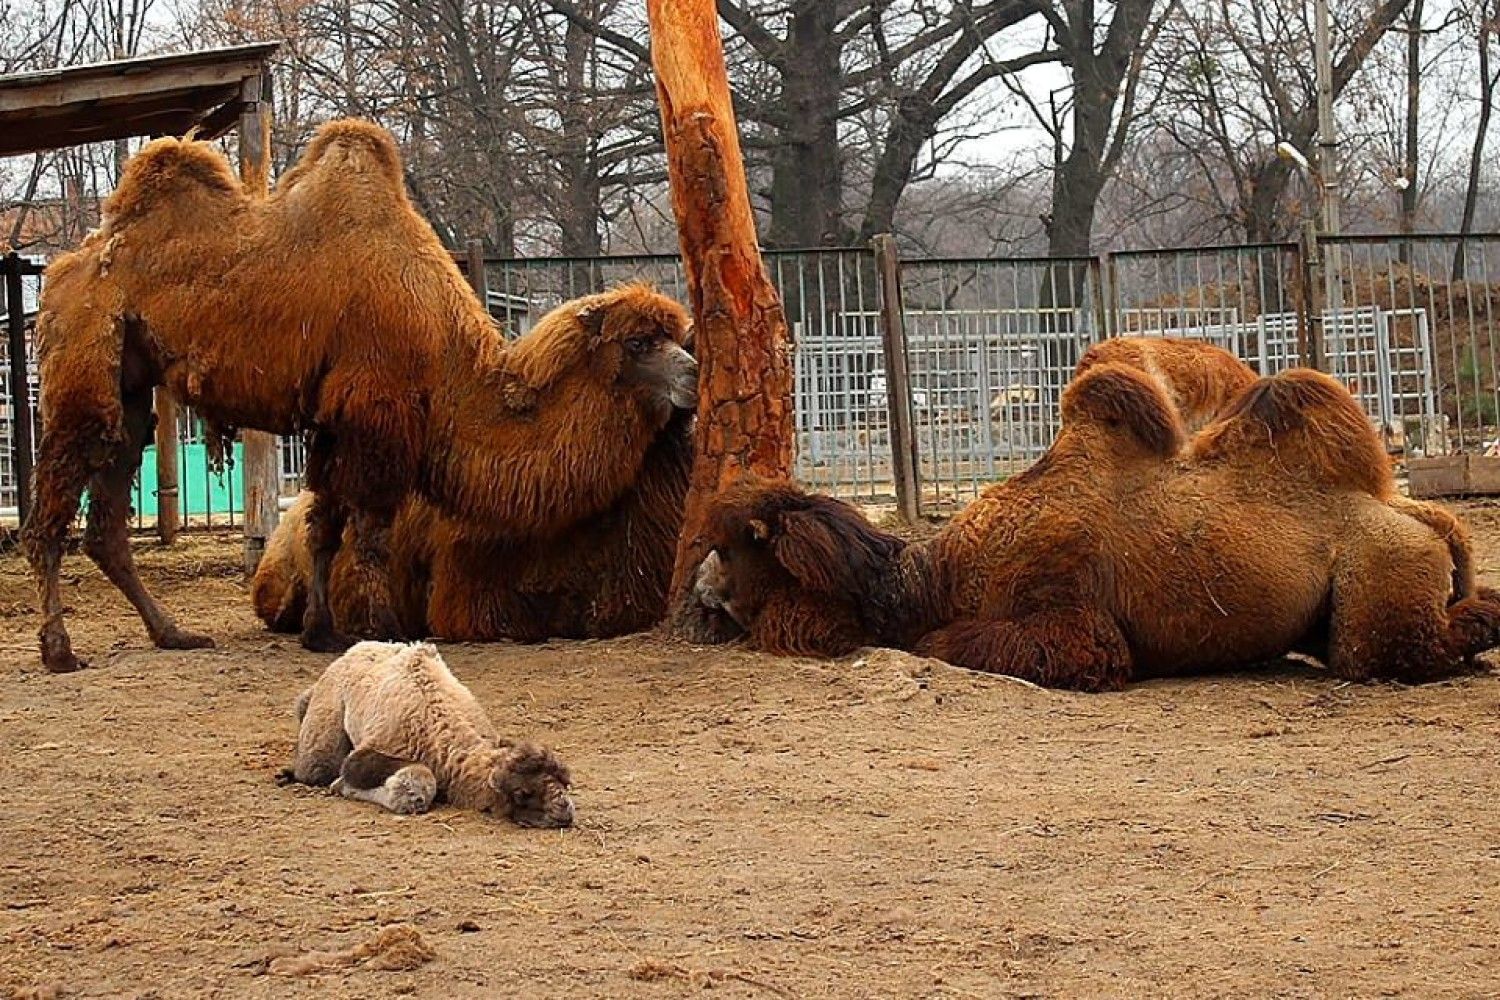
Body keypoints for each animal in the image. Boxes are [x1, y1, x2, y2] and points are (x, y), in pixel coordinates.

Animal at [277, 641, 573, 827]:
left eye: (564, 781)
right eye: (521, 793)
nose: (564, 809)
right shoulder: (366, 754)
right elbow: (416, 786)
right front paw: (341, 786)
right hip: (323, 730)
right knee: (314, 767)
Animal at [687, 364, 1500, 692]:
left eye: (735, 547)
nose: (700, 584)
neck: (935, 577)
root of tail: (1423, 516)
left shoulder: (1072, 622)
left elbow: (950, 644)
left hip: (1378, 581)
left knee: (1390, 650)